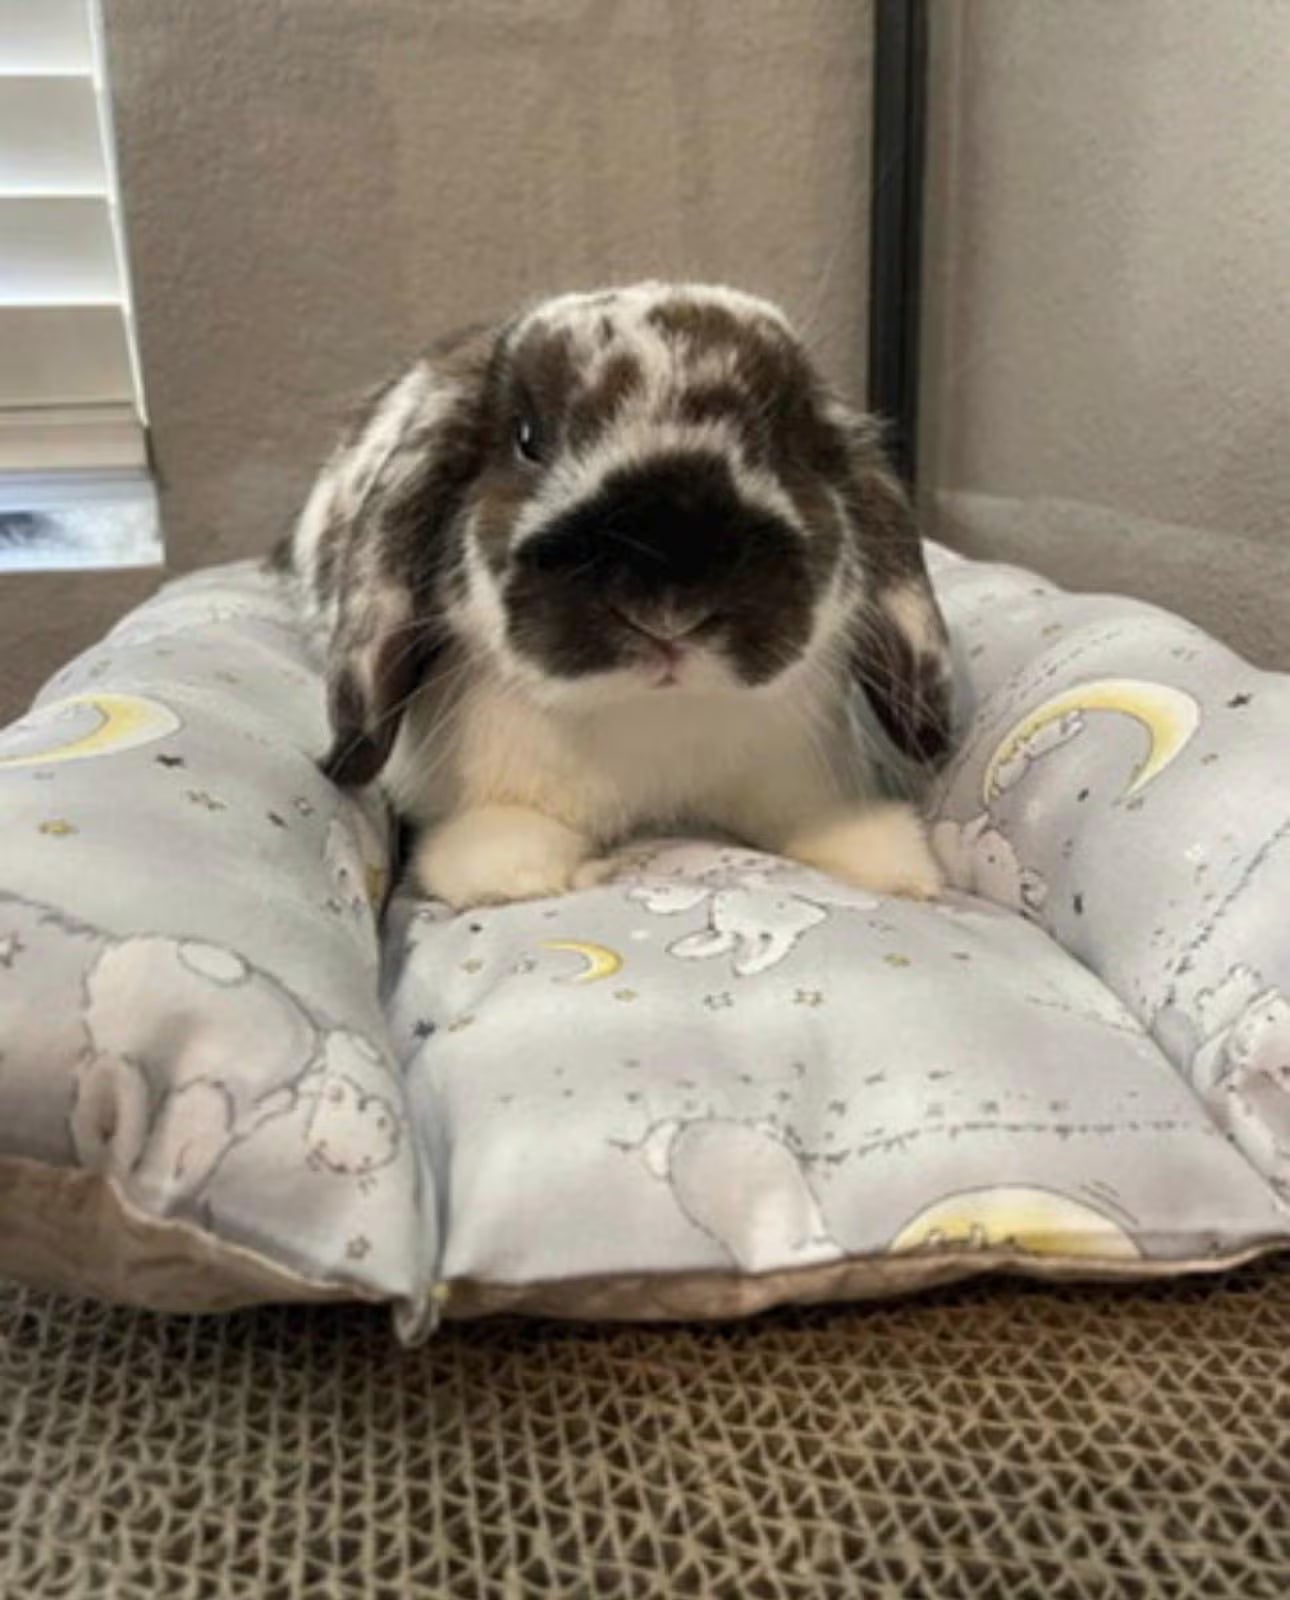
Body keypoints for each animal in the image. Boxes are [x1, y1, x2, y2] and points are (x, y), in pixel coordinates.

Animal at [275, 282, 956, 910]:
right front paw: (530, 876)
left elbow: (818, 821)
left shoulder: (794, 777)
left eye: (781, 441)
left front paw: (895, 868)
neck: (651, 718)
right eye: (528, 439)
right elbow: (507, 844)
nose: (669, 609)